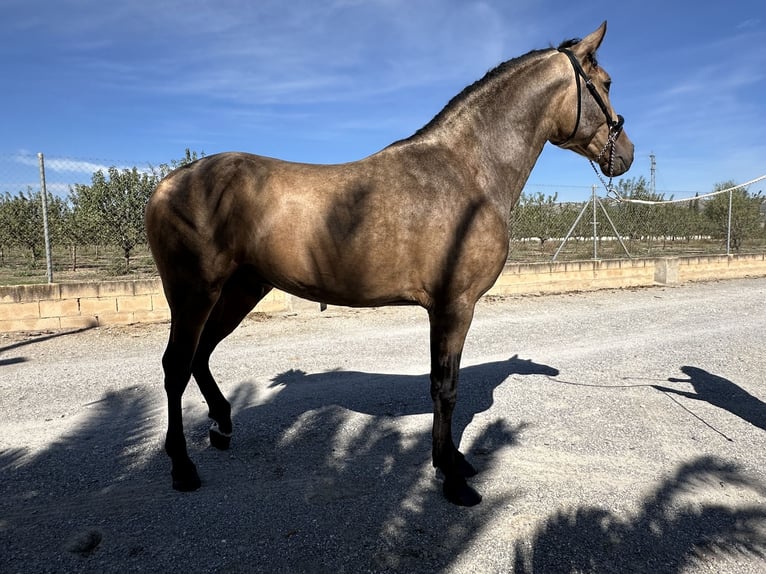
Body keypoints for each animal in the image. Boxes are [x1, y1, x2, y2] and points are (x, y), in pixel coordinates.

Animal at [146, 21, 636, 508]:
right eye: (608, 83)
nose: (627, 153)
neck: (468, 171)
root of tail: (169, 183)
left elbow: (443, 387)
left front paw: (453, 461)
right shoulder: (454, 306)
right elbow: (445, 389)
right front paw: (452, 479)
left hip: (241, 289)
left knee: (202, 354)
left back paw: (222, 427)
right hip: (195, 294)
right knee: (176, 366)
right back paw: (182, 467)